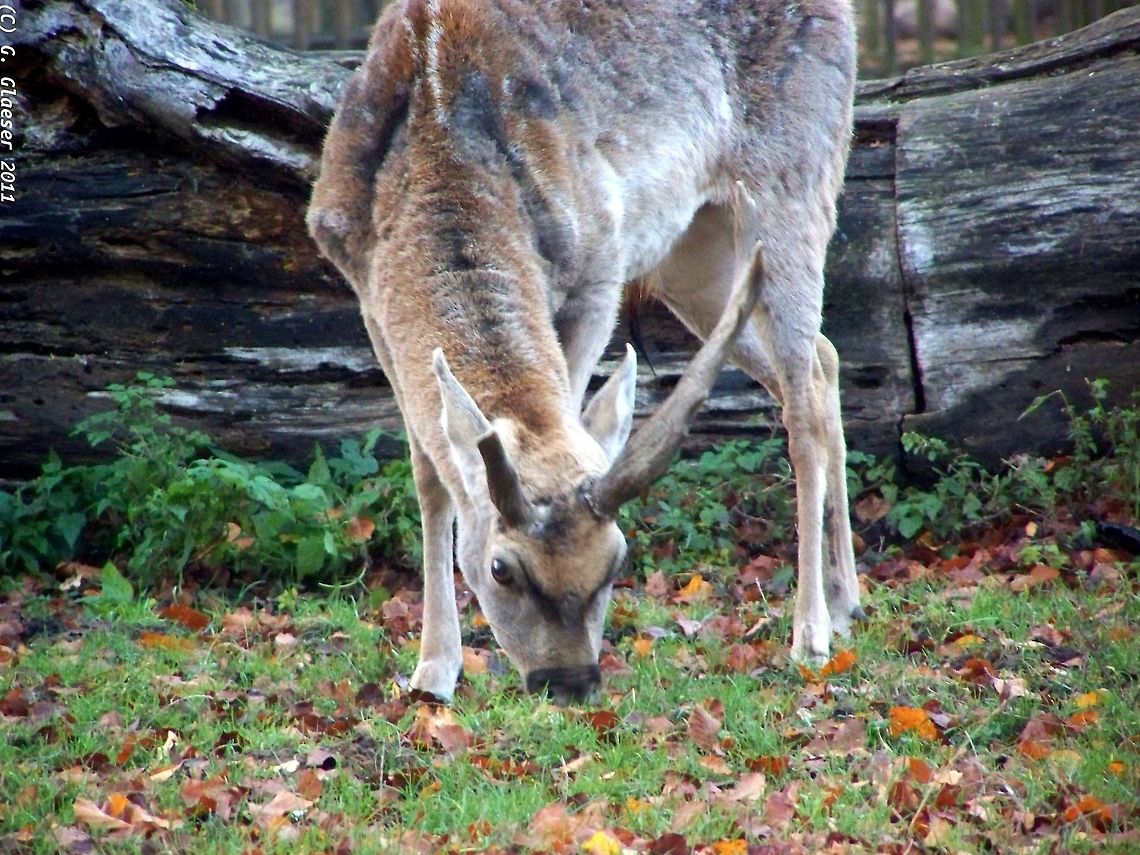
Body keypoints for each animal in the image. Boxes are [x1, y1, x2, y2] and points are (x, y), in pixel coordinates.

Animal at [307, 0, 863, 704]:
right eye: (501, 569)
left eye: (617, 558)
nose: (570, 682)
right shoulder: (367, 294)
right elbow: (431, 476)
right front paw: (434, 670)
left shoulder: (598, 268)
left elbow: (567, 416)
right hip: (695, 253)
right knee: (824, 359)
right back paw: (848, 601)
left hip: (798, 183)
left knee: (802, 404)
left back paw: (811, 632)